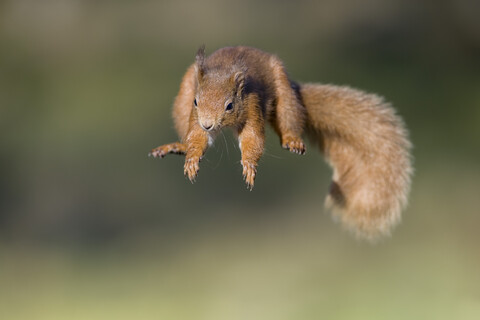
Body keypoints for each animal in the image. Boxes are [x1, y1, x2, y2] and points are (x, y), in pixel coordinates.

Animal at [150, 46, 412, 239]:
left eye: (229, 105)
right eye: (197, 101)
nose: (207, 124)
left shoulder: (253, 106)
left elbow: (252, 139)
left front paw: (249, 166)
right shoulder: (193, 113)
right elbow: (196, 138)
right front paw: (192, 159)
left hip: (285, 96)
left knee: (288, 119)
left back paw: (292, 140)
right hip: (183, 94)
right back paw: (178, 146)